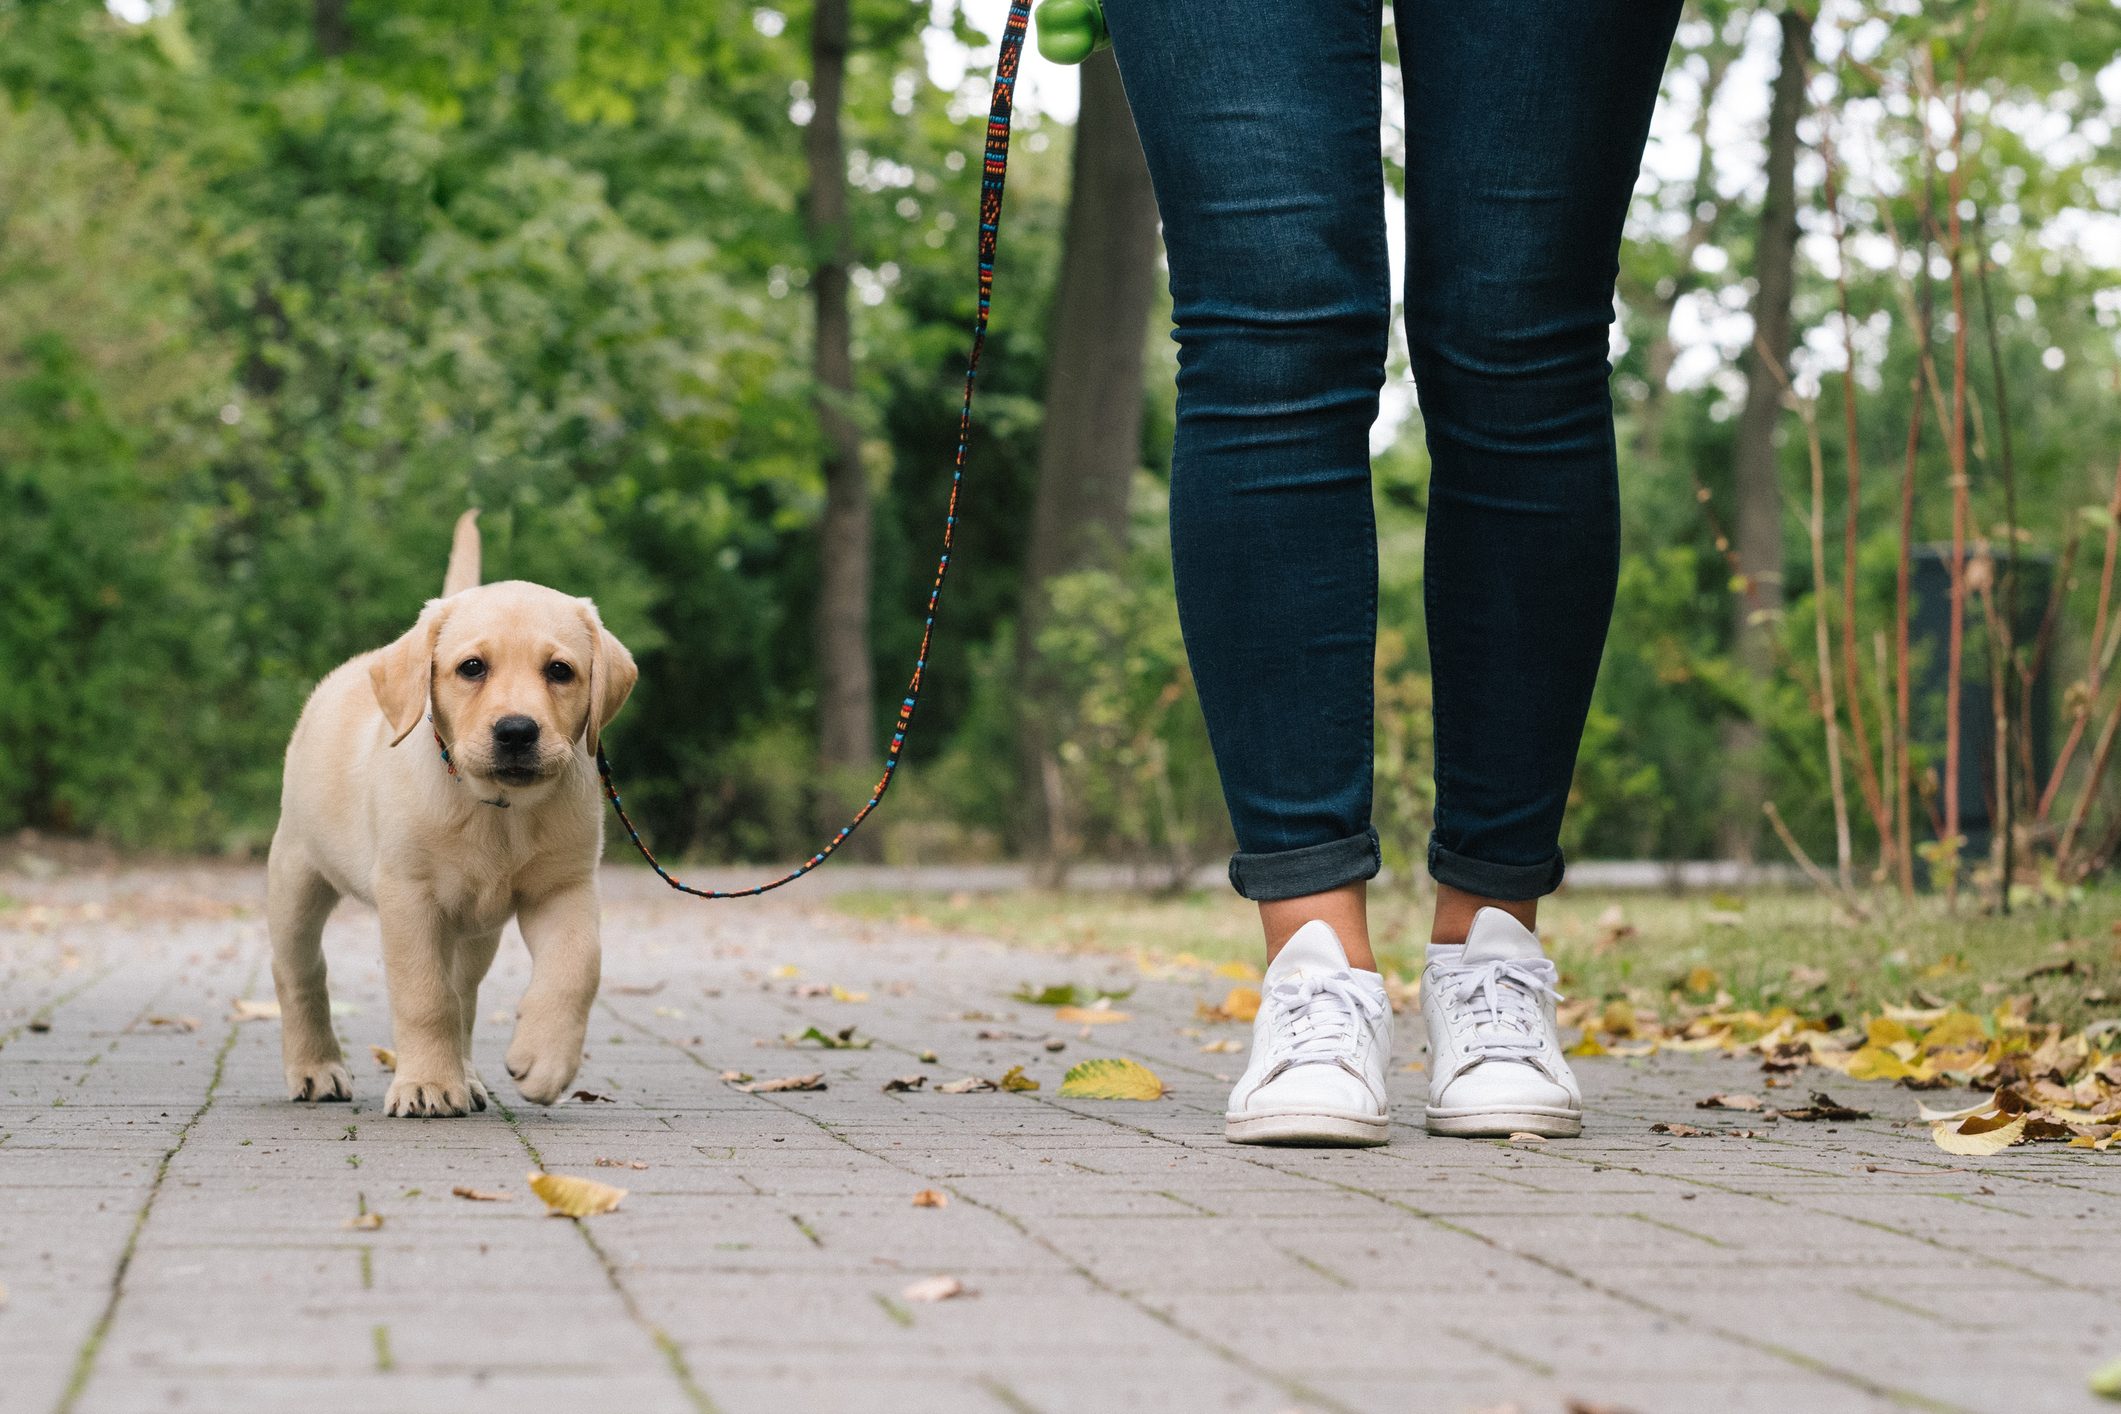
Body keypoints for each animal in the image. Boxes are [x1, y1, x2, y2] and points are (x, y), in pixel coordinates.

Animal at [264, 508, 632, 1119]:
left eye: (560, 671)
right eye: (472, 668)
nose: (516, 731)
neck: (498, 810)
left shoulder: (565, 887)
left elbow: (578, 967)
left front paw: (546, 1061)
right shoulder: (409, 896)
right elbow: (425, 996)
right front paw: (428, 1086)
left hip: (476, 933)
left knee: (466, 994)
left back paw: (469, 1076)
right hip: (297, 875)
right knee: (301, 974)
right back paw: (316, 1069)